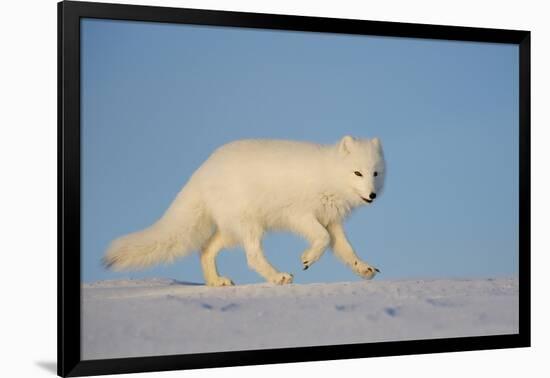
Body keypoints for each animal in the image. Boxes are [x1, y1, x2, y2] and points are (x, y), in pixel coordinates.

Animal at [104, 136, 388, 286]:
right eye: (357, 173)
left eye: (375, 173)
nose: (372, 195)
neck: (328, 175)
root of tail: (202, 171)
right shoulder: (300, 215)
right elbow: (322, 238)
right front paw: (307, 258)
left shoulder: (332, 221)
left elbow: (346, 250)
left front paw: (363, 269)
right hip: (249, 226)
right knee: (251, 257)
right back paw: (277, 277)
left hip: (231, 231)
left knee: (205, 249)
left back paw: (215, 282)